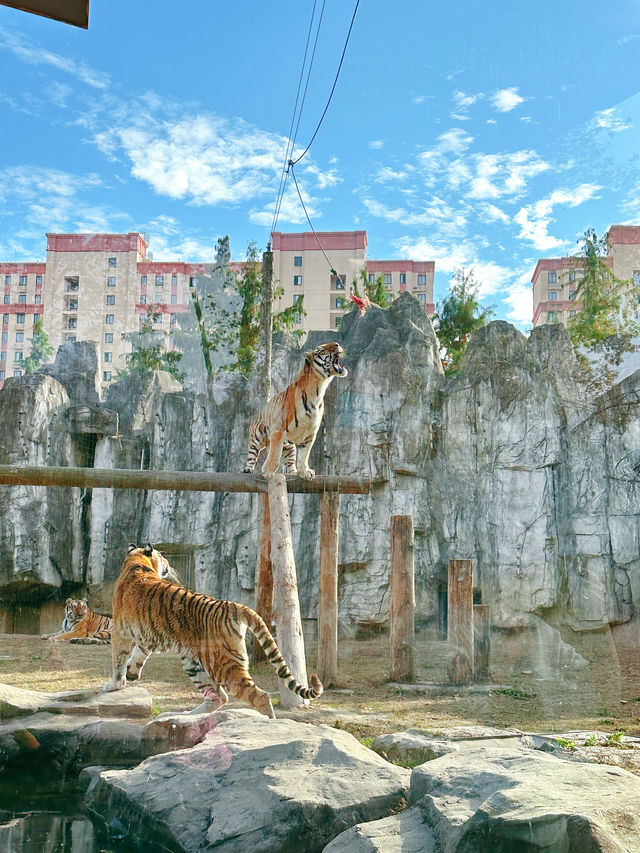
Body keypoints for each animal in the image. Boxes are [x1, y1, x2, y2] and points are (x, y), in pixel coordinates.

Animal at [105, 544, 324, 716]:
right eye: (162, 556)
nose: (168, 562)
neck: (137, 561)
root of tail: (234, 605)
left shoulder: (120, 632)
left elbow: (118, 659)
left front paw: (115, 684)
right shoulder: (145, 637)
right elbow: (137, 655)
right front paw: (131, 673)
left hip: (224, 665)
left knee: (258, 695)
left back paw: (269, 723)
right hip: (194, 662)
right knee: (218, 697)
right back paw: (188, 716)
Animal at [241, 342, 350, 482]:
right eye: (320, 349)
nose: (337, 344)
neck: (319, 388)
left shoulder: (310, 434)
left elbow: (304, 456)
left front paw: (304, 472)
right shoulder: (278, 431)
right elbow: (275, 455)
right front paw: (268, 471)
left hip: (289, 445)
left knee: (290, 461)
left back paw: (292, 472)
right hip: (257, 435)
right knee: (252, 453)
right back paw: (247, 469)